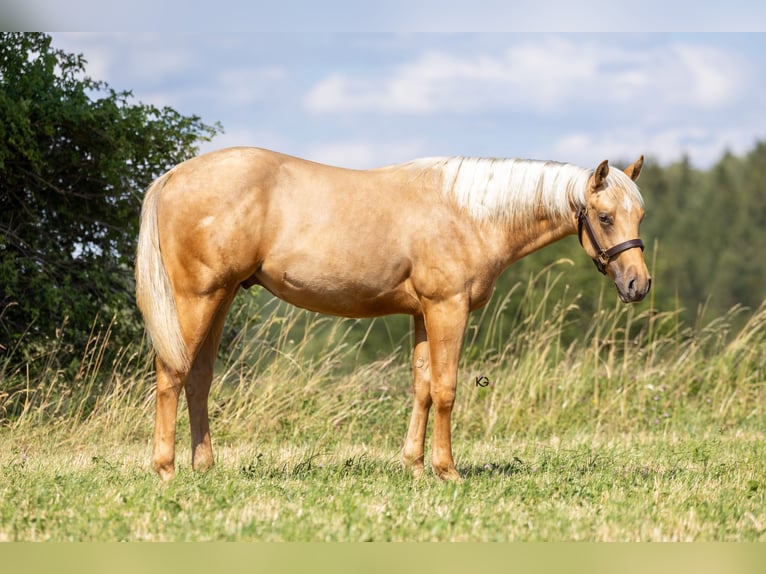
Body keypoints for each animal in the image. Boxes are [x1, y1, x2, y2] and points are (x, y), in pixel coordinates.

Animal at [135, 147, 650, 482]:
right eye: (605, 217)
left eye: (639, 216)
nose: (638, 285)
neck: (469, 212)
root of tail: (172, 177)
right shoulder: (448, 308)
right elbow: (445, 389)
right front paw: (446, 470)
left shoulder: (423, 313)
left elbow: (422, 387)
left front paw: (415, 467)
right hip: (197, 298)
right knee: (172, 373)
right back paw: (166, 469)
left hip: (220, 298)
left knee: (199, 377)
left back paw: (205, 467)